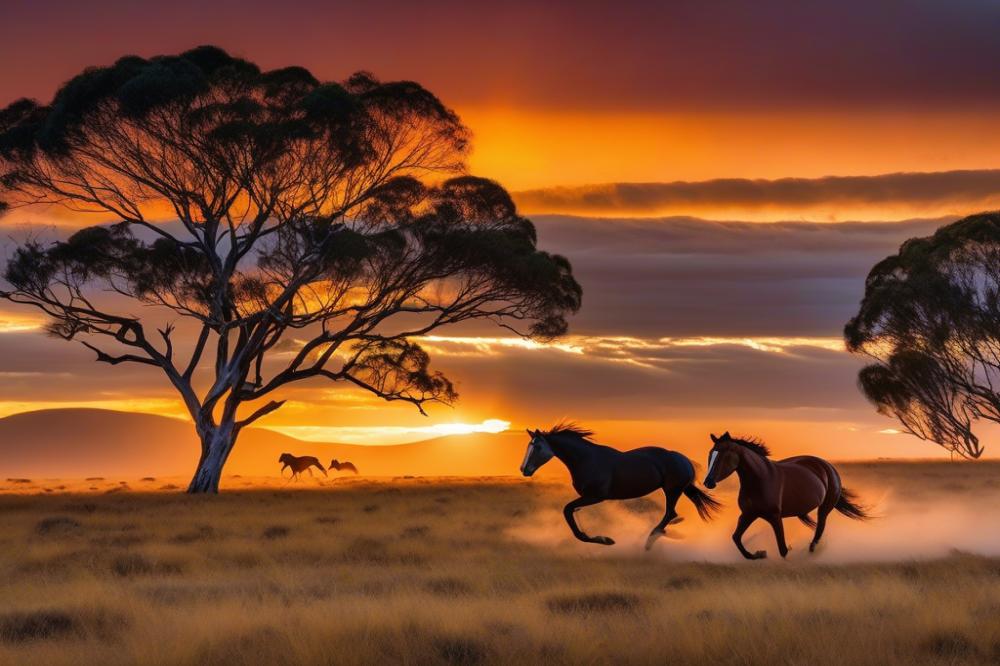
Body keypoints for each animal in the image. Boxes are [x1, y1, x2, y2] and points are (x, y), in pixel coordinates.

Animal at [521, 423, 721, 550]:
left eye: (537, 447)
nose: (524, 469)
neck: (586, 459)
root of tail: (685, 460)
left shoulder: (595, 496)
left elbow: (567, 511)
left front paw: (605, 540)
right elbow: (569, 512)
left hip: (672, 490)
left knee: (670, 514)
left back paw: (649, 542)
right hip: (675, 490)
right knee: (670, 516)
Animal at [703, 431, 871, 559]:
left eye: (722, 456)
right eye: (710, 454)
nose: (707, 482)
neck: (760, 480)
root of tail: (828, 466)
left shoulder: (775, 517)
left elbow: (782, 549)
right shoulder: (748, 514)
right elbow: (736, 538)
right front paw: (759, 554)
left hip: (825, 507)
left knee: (820, 528)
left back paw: (811, 552)